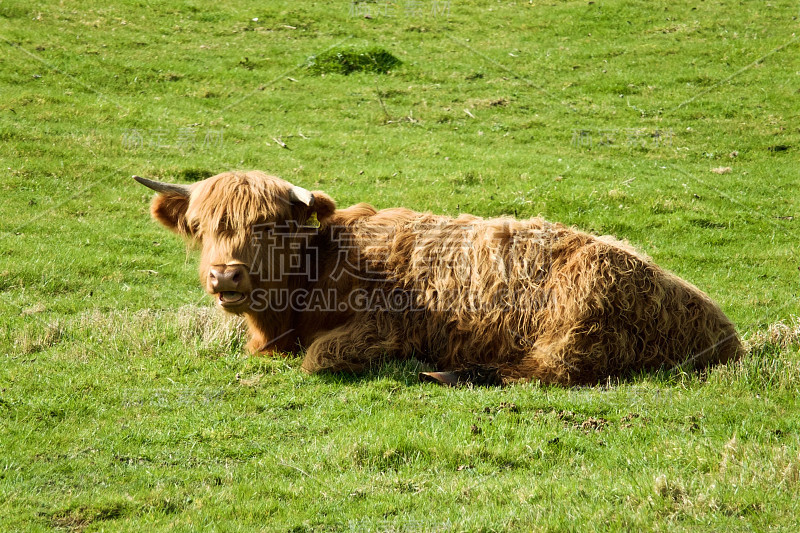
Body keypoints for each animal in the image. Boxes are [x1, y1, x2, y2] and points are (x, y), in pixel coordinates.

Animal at [133, 170, 744, 382]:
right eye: (200, 226)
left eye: (268, 225)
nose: (226, 277)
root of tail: (723, 330)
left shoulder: (384, 328)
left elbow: (319, 358)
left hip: (579, 318)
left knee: (548, 371)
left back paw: (455, 372)